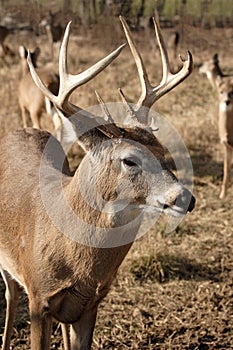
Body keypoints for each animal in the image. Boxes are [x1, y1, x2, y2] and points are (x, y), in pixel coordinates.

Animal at [0, 17, 195, 350]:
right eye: (130, 160)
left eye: (163, 152)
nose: (184, 198)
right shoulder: (38, 297)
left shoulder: (92, 304)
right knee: (10, 294)